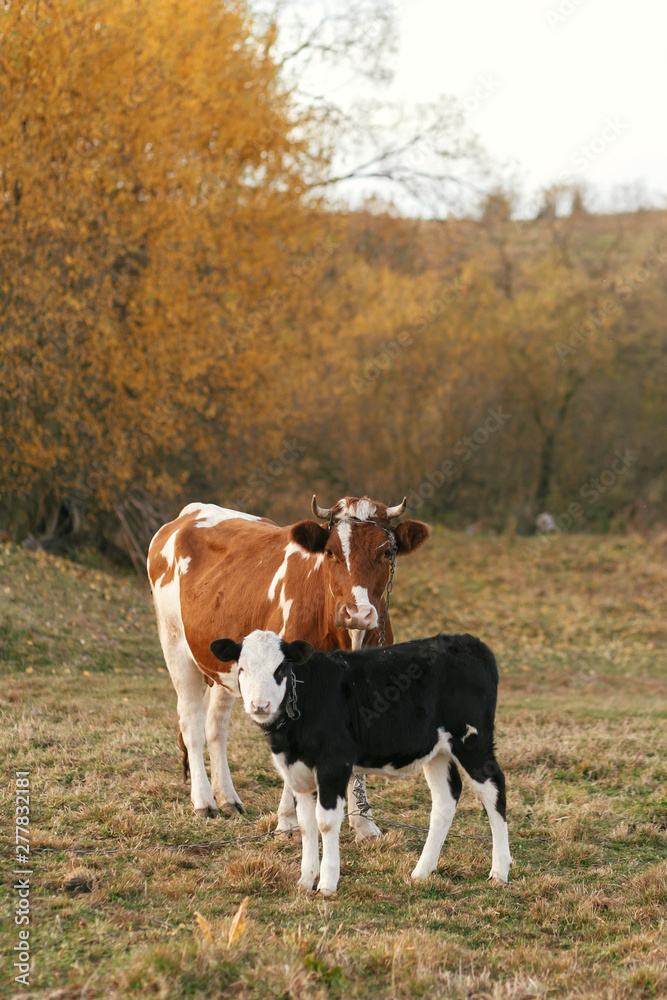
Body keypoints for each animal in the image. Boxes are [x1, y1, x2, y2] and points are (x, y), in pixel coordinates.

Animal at [147, 496, 430, 832]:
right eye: (330, 552)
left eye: (386, 552)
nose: (357, 613)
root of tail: (188, 513)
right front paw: (288, 821)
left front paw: (363, 824)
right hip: (174, 643)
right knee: (191, 722)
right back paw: (204, 802)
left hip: (223, 664)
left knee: (215, 725)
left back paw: (228, 798)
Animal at [211, 628, 516, 896]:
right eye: (242, 669)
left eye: (280, 669)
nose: (260, 705)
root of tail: (468, 641)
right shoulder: (297, 772)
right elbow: (307, 825)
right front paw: (305, 881)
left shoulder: (334, 763)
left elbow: (326, 822)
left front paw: (327, 884)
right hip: (438, 751)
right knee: (445, 800)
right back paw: (421, 871)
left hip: (473, 740)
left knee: (494, 790)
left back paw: (500, 871)